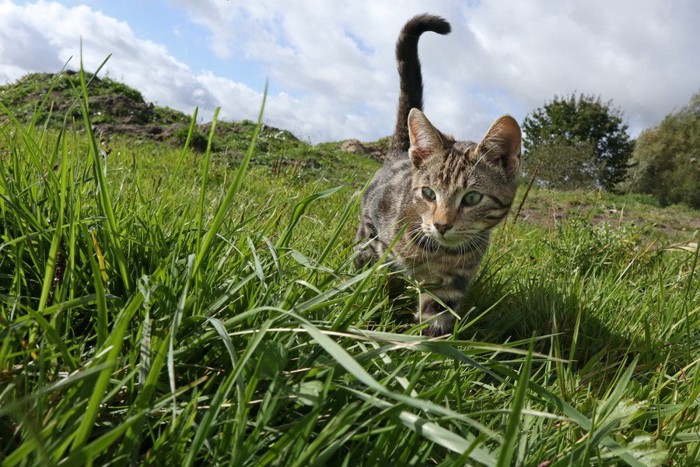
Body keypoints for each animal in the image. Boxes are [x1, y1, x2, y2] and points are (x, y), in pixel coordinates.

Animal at [356, 12, 520, 336]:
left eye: (472, 198)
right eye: (428, 193)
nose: (442, 225)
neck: (439, 252)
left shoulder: (450, 285)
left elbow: (435, 321)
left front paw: (425, 346)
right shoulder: (381, 245)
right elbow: (383, 281)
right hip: (366, 230)